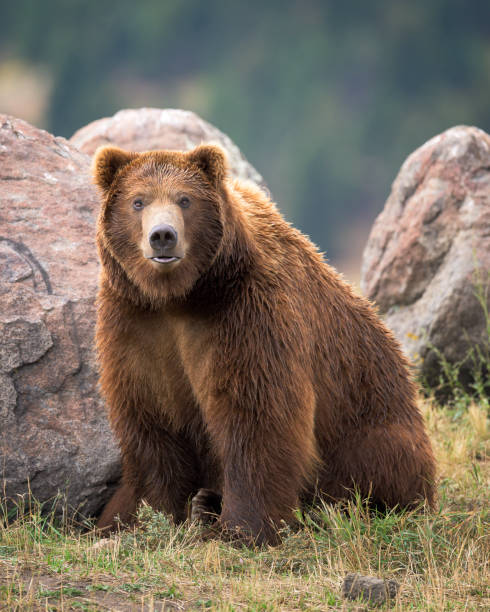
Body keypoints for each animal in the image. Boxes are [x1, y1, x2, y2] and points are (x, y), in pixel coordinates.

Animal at [93, 145, 436, 544]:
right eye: (138, 201)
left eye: (185, 199)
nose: (163, 235)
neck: (181, 297)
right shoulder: (135, 324)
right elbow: (149, 417)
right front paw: (146, 516)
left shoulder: (247, 314)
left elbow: (257, 415)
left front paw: (245, 526)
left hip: (372, 420)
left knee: (377, 461)